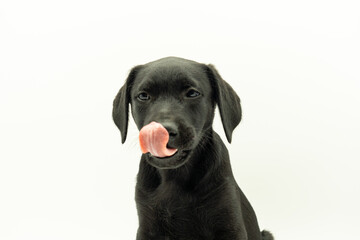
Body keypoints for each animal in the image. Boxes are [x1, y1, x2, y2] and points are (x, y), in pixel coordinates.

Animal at [112, 57, 272, 239]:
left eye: (192, 94)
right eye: (143, 96)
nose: (164, 131)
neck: (175, 176)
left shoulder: (230, 225)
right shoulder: (147, 227)